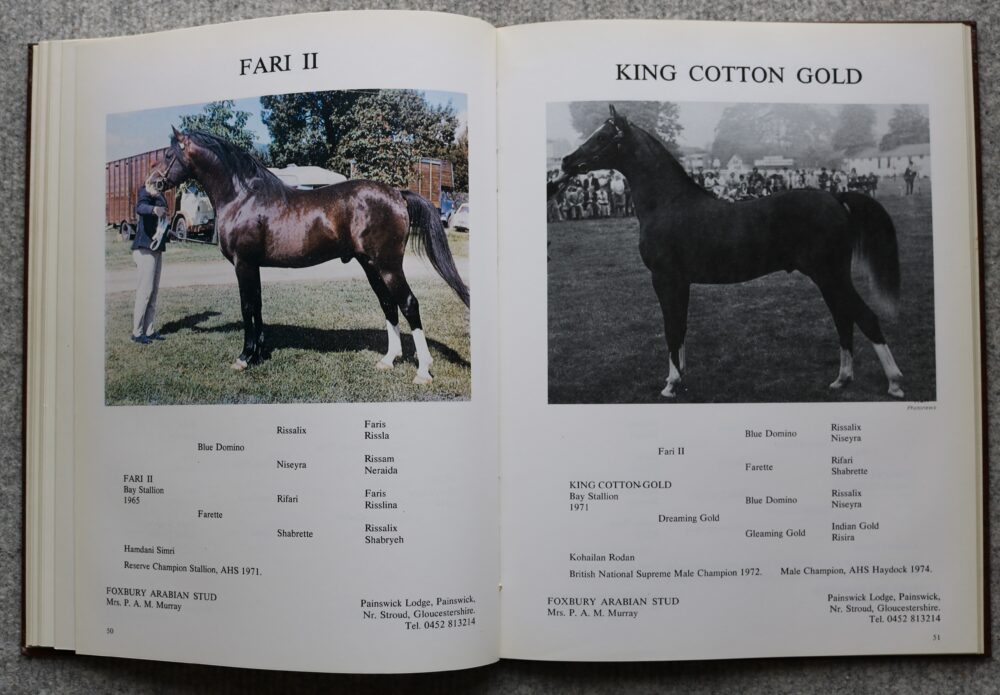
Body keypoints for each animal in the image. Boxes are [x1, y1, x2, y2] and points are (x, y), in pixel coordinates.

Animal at [149, 127, 469, 385]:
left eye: (168, 155)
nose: (151, 184)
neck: (243, 197)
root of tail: (398, 194)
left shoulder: (244, 264)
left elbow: (247, 306)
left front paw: (244, 356)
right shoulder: (254, 267)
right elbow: (258, 305)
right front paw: (259, 353)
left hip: (388, 265)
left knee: (408, 304)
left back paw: (423, 372)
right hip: (371, 265)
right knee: (388, 305)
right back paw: (387, 360)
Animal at [554, 106, 903, 399]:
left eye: (602, 137)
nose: (565, 161)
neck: (668, 203)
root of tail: (837, 197)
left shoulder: (665, 279)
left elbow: (671, 329)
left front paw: (670, 385)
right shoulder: (680, 283)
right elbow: (680, 327)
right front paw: (679, 378)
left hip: (830, 275)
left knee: (865, 318)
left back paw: (895, 383)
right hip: (829, 278)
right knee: (844, 320)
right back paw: (842, 379)